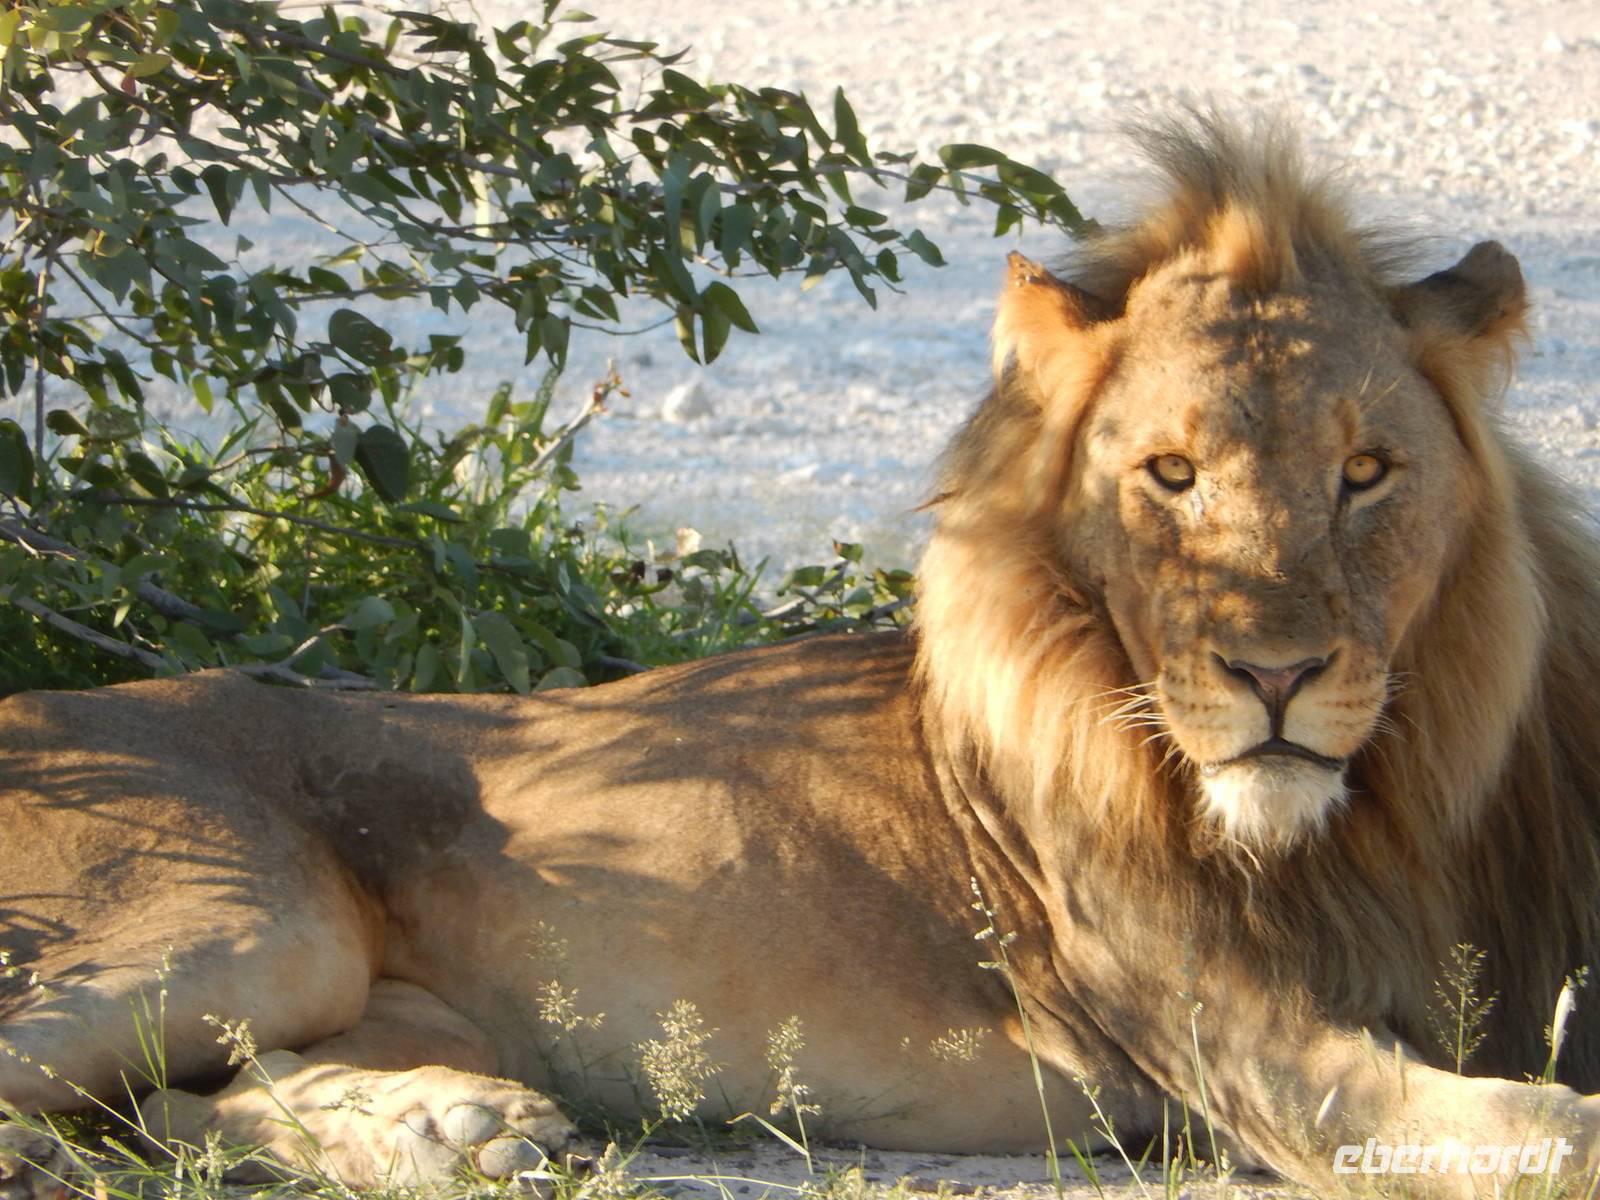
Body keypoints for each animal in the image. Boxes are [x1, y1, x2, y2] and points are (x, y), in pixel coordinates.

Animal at [5, 111, 1600, 1198]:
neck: (1370, 811)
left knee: (148, 1109)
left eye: (1366, 474)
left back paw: (453, 1126)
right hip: (241, 917)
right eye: (1170, 474)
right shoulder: (1259, 1056)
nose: (1276, 678)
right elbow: (1548, 1134)